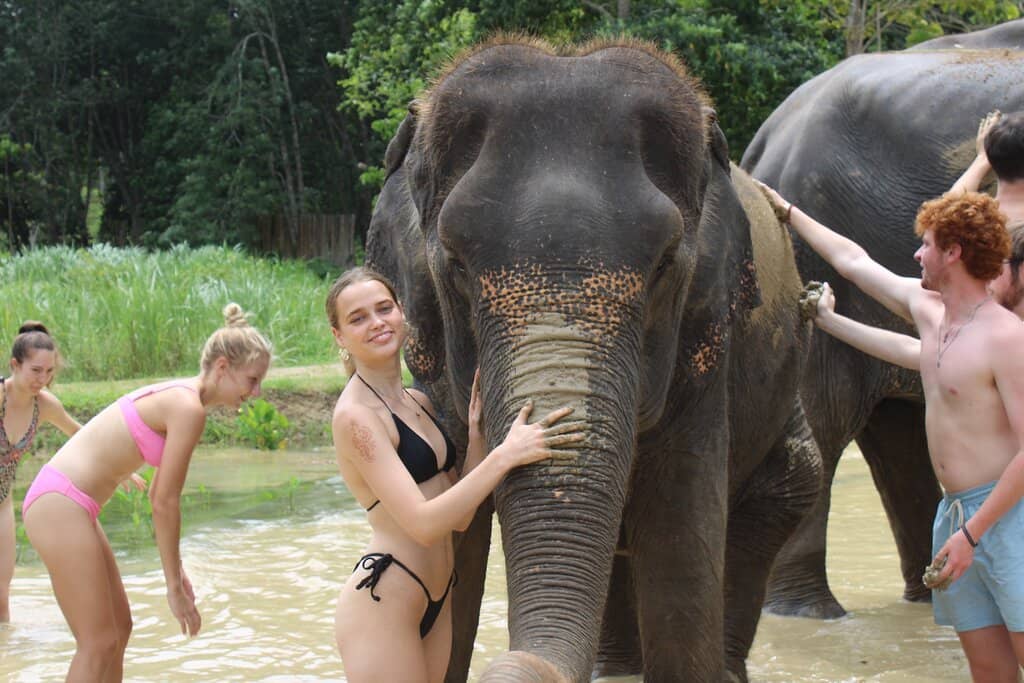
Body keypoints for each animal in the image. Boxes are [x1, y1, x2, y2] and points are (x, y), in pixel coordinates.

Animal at [365, 37, 821, 682]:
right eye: (454, 264)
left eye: (664, 265)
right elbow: (450, 534)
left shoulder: (707, 346)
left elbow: (680, 536)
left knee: (782, 495)